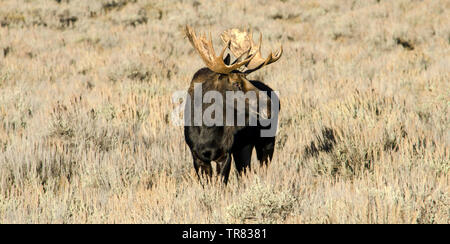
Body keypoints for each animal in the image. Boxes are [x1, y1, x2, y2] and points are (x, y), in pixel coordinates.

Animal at [183, 25, 282, 184]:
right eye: (236, 83)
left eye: (247, 78)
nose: (270, 106)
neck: (207, 129)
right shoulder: (197, 157)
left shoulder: (225, 155)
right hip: (244, 147)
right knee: (244, 171)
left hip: (267, 142)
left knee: (262, 169)